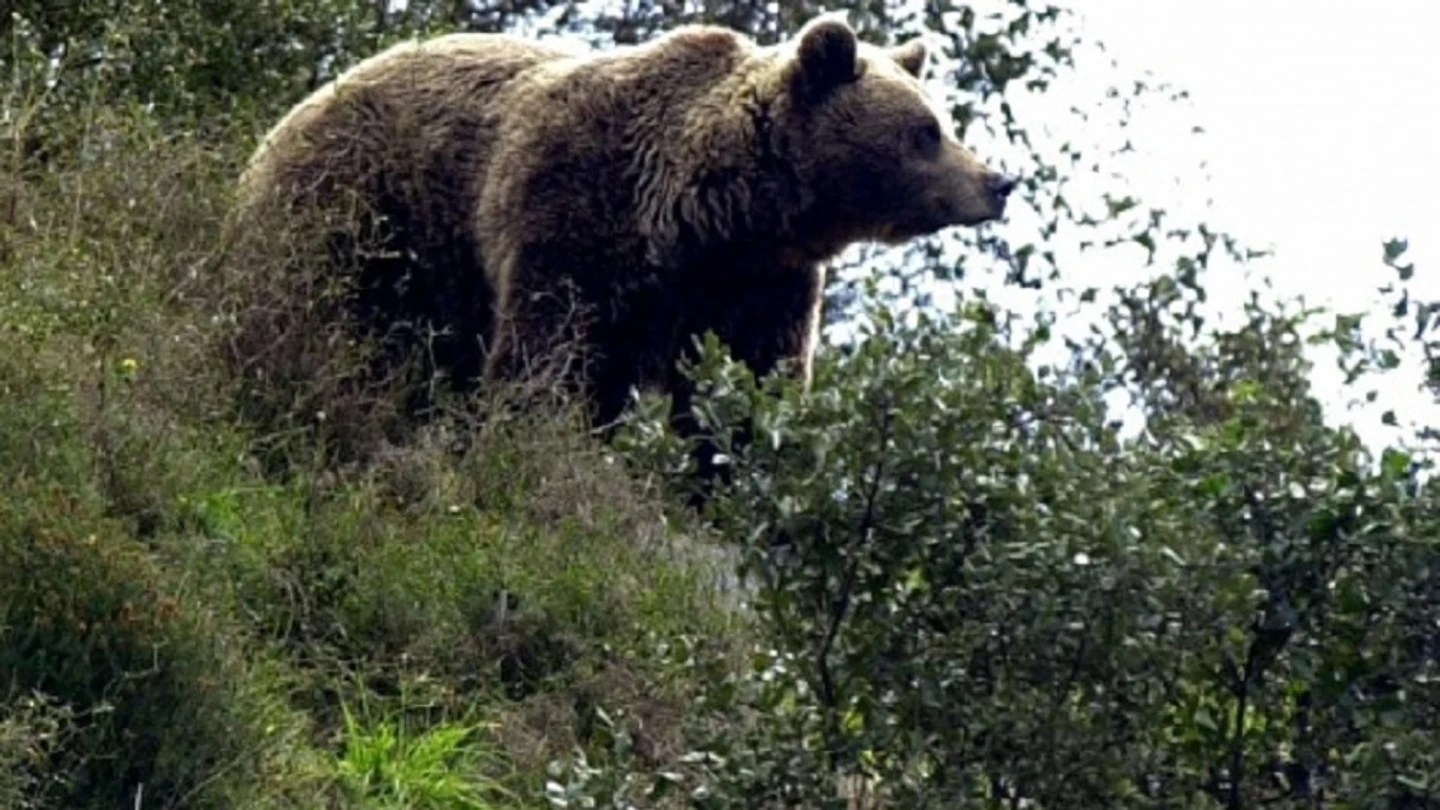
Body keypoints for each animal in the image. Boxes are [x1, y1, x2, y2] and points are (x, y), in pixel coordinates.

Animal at [233, 13, 1016, 474]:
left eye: (943, 123)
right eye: (925, 132)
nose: (998, 181)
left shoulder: (760, 283)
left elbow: (750, 385)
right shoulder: (575, 210)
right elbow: (549, 353)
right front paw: (538, 443)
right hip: (364, 211)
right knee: (325, 309)